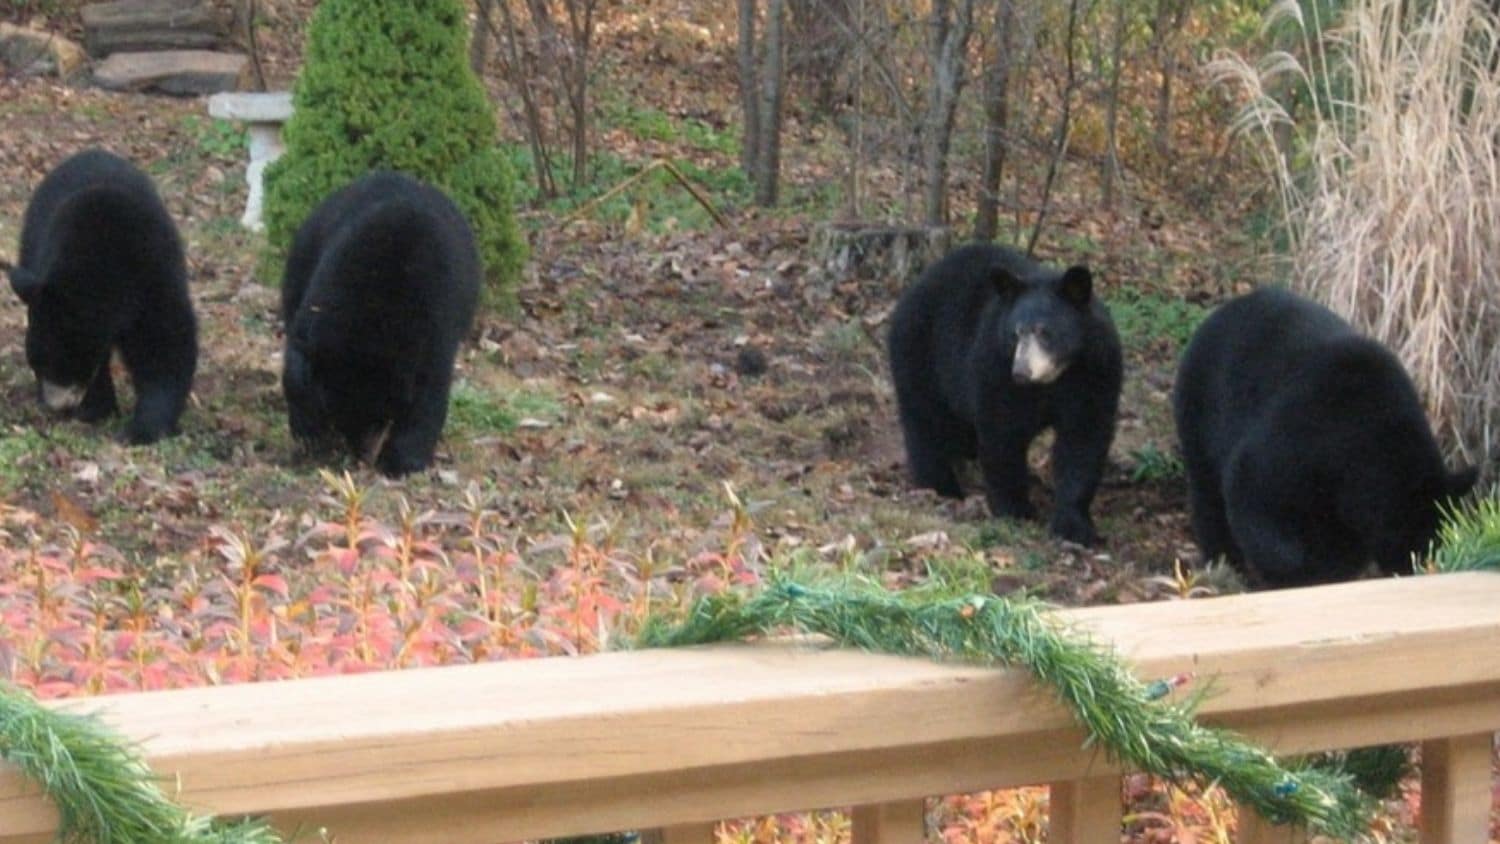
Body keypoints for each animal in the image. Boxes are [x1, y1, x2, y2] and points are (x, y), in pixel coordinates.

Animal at [8, 148, 196, 446]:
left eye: (60, 366)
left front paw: (141, 429)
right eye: (36, 365)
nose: (56, 406)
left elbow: (164, 342)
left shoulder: (153, 272)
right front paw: (95, 409)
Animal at [285, 170, 480, 482]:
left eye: (380, 413)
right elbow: (297, 358)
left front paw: (402, 460)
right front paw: (308, 429)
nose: (362, 453)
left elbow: (430, 391)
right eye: (338, 413)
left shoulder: (436, 326)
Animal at [882, 242, 1122, 548]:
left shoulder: (1096, 372)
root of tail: (911, 291)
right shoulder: (995, 367)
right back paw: (940, 486)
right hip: (921, 355)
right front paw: (1016, 508)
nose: (1021, 371)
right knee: (926, 422)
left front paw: (1075, 524)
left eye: (1045, 332)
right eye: (1015, 333)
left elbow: (1083, 438)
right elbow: (1003, 432)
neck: (1053, 378)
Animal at [1170, 287, 1476, 590]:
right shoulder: (1300, 434)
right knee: (1208, 495)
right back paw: (1225, 566)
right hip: (1200, 412)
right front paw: (1295, 572)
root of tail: (1218, 314)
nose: (1420, 568)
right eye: (1417, 538)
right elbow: (1250, 489)